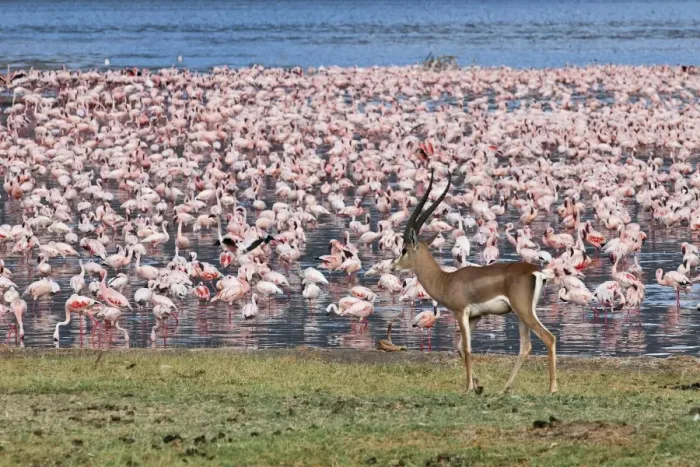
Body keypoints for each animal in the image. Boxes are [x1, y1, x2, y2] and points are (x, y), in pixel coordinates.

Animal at [391, 170, 557, 393]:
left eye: (404, 249)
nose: (393, 266)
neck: (446, 280)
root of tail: (536, 272)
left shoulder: (461, 313)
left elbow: (468, 349)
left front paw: (468, 388)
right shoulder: (476, 317)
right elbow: (459, 347)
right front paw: (478, 386)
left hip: (524, 312)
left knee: (549, 338)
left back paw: (552, 388)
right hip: (521, 315)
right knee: (525, 346)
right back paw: (504, 389)